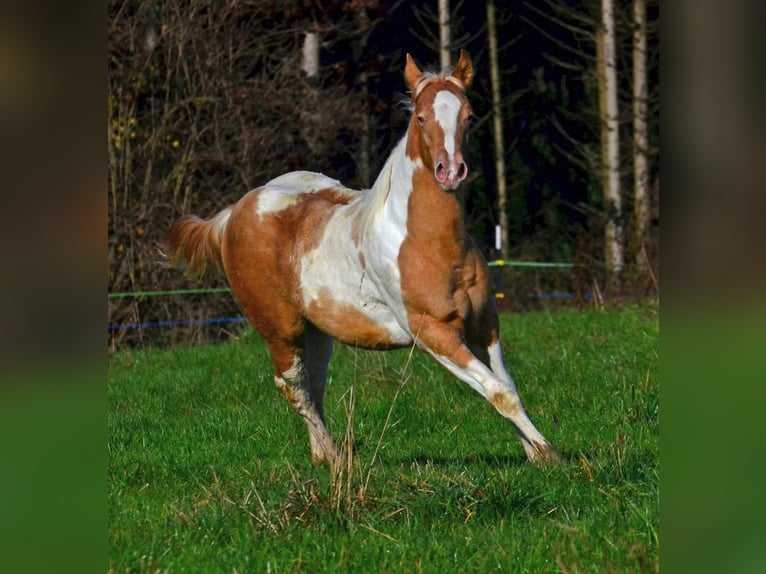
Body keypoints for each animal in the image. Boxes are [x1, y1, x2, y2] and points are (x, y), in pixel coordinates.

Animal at [165, 50, 561, 468]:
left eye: (469, 115)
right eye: (421, 117)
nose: (450, 172)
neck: (426, 242)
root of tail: (232, 214)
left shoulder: (485, 325)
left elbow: (506, 385)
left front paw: (536, 454)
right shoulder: (433, 333)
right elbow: (498, 392)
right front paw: (550, 453)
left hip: (317, 333)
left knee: (314, 385)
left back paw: (323, 456)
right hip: (281, 329)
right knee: (293, 387)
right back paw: (337, 459)